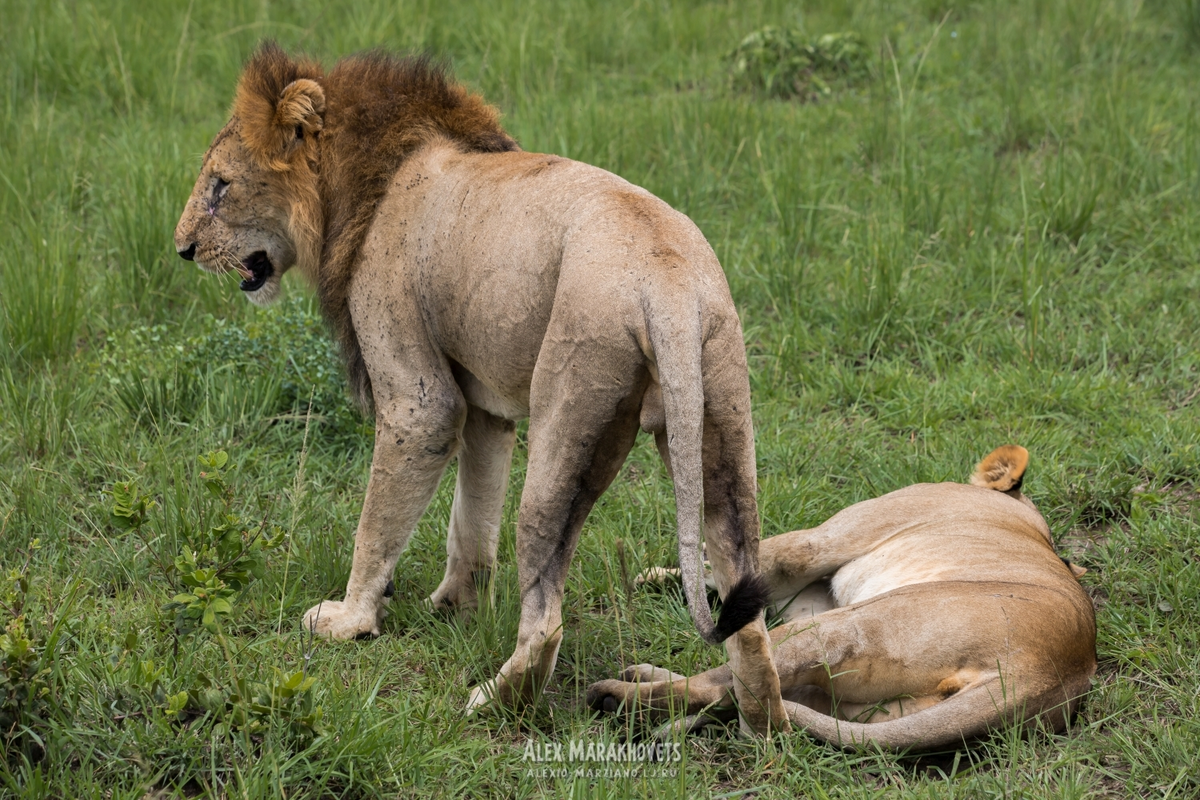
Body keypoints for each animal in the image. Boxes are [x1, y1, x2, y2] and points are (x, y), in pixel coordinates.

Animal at [171, 42, 787, 734]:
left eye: (221, 185)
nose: (183, 249)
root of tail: (668, 284)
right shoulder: (486, 401)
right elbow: (472, 510)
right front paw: (456, 603)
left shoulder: (420, 397)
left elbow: (379, 521)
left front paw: (350, 620)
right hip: (722, 415)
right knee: (748, 615)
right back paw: (760, 727)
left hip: (570, 411)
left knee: (546, 617)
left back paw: (491, 700)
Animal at [585, 443, 1099, 753]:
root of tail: (1049, 672)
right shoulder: (809, 594)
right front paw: (659, 580)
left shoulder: (816, 546)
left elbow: (742, 565)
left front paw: (658, 576)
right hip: (854, 696)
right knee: (748, 691)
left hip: (845, 626)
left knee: (739, 689)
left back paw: (617, 697)